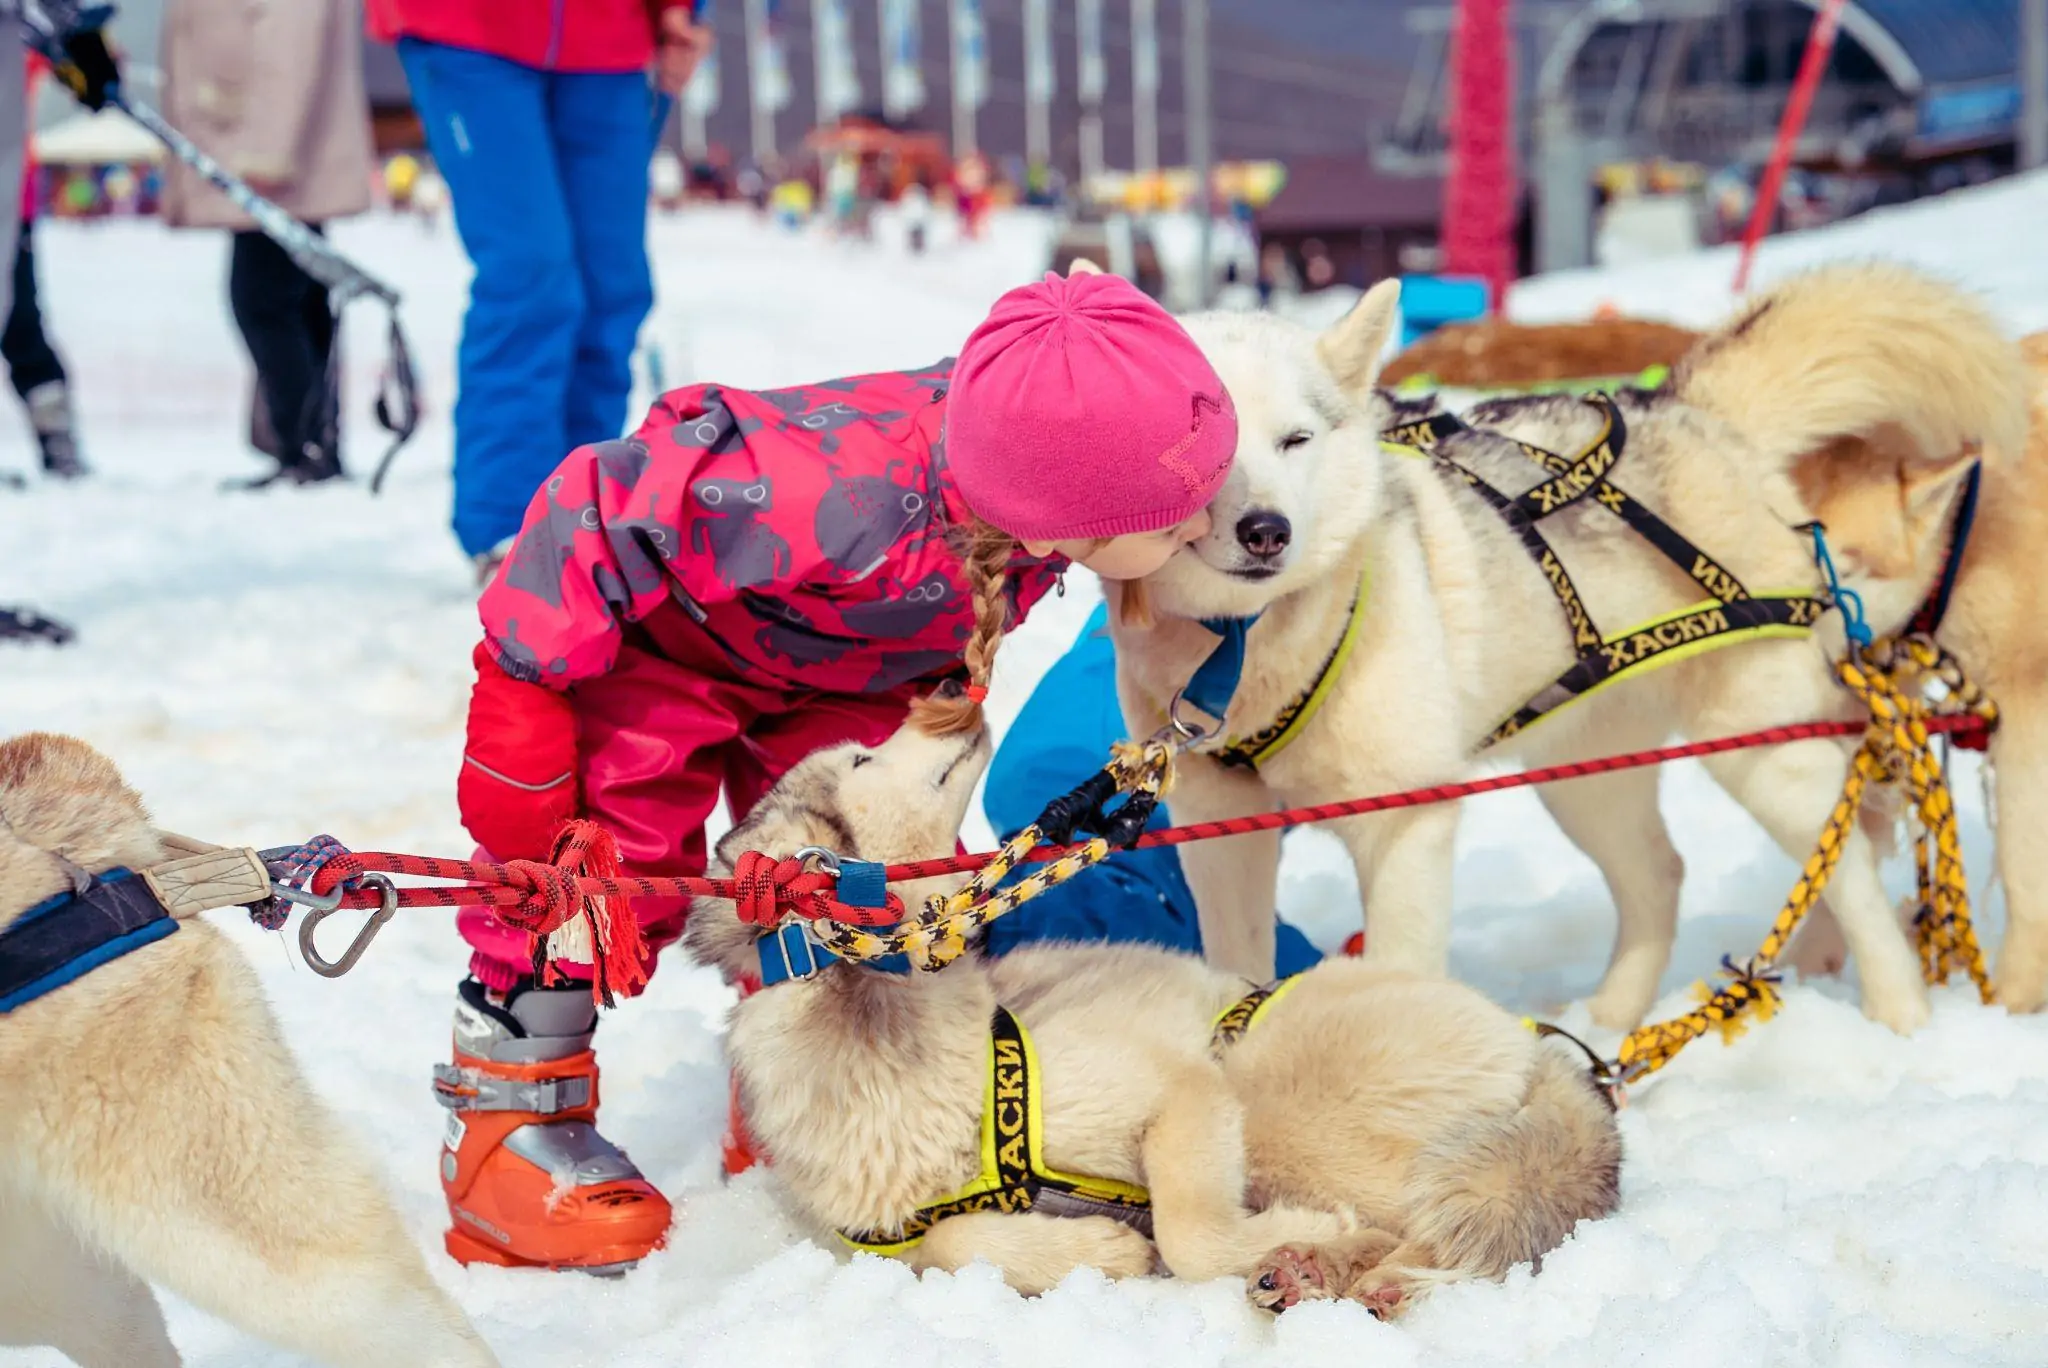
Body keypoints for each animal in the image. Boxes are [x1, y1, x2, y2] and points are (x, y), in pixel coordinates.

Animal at [1114, 266, 2039, 1032]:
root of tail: (1687, 410)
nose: (1265, 531)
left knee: (1846, 865)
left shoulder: (1405, 823)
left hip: (1760, 754)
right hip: (1583, 774)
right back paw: (1610, 1025)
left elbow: (1399, 973)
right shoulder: (1220, 834)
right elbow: (1236, 972)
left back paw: (1901, 1018)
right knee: (1659, 876)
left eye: (1296, 440)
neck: (1246, 646)